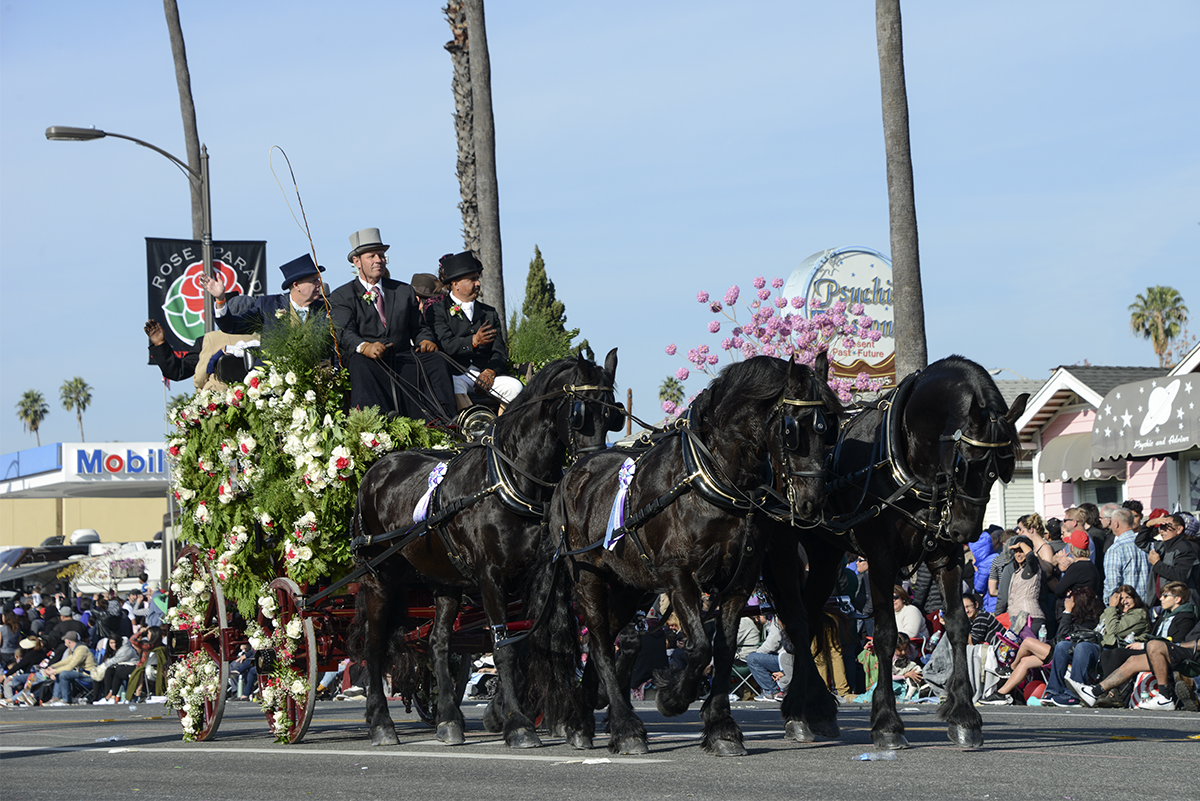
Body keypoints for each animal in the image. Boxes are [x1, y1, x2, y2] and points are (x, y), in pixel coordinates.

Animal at [350, 347, 624, 748]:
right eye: (579, 412)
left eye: (613, 415)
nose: (595, 465)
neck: (510, 481)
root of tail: (375, 470)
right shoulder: (490, 576)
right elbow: (503, 648)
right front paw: (520, 725)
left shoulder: (540, 573)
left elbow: (534, 641)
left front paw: (532, 716)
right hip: (379, 578)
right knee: (374, 643)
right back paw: (381, 722)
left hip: (444, 580)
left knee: (438, 642)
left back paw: (449, 720)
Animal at [549, 352, 840, 753]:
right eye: (792, 430)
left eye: (831, 429)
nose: (813, 503)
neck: (712, 482)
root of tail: (571, 474)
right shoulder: (678, 576)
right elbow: (701, 647)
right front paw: (672, 697)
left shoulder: (740, 581)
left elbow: (724, 648)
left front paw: (721, 727)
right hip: (589, 579)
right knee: (599, 641)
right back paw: (623, 727)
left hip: (628, 586)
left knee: (603, 639)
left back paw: (588, 713)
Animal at [782, 357, 1027, 753]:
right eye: (964, 463)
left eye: (1001, 467)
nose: (965, 531)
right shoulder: (881, 559)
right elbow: (884, 633)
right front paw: (886, 722)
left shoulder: (947, 556)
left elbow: (957, 626)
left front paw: (964, 716)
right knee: (798, 619)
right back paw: (797, 710)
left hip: (827, 555)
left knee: (811, 615)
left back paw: (814, 709)